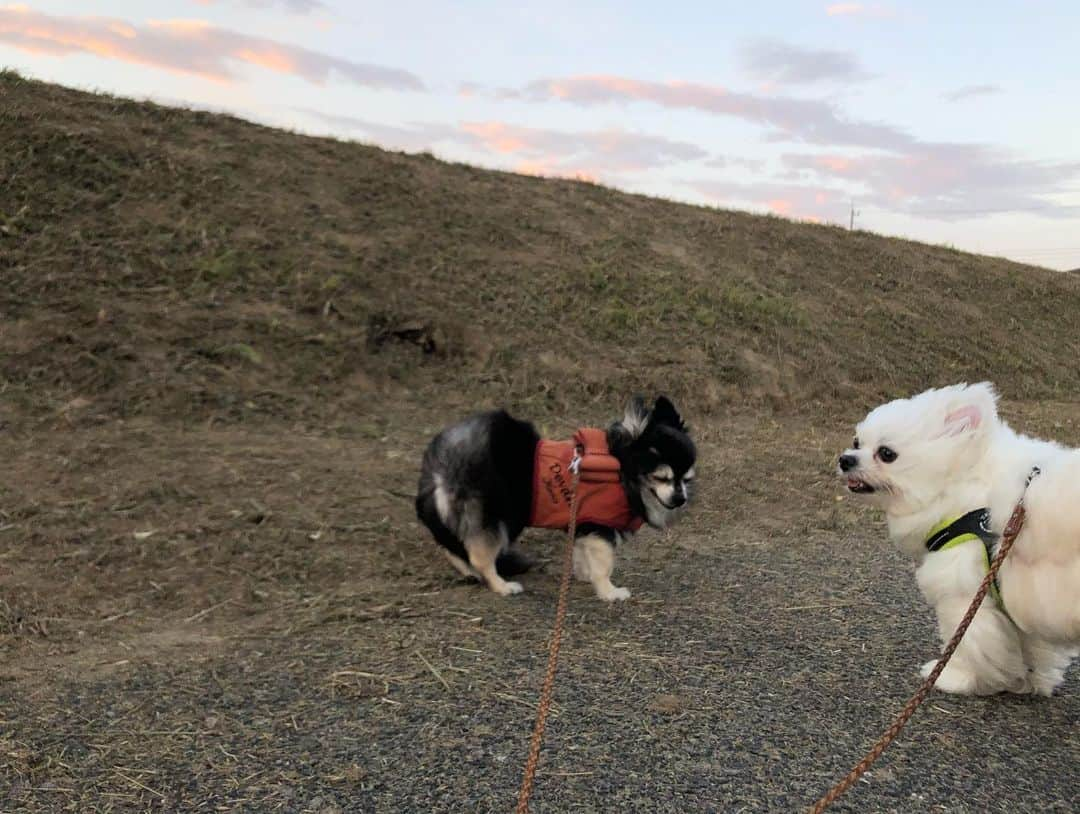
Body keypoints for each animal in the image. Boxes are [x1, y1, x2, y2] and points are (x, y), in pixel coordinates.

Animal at [842, 380, 1080, 690]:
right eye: (857, 442)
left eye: (886, 454)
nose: (845, 459)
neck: (966, 482)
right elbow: (1029, 646)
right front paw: (1029, 679)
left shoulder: (964, 593)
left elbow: (965, 640)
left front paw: (954, 677)